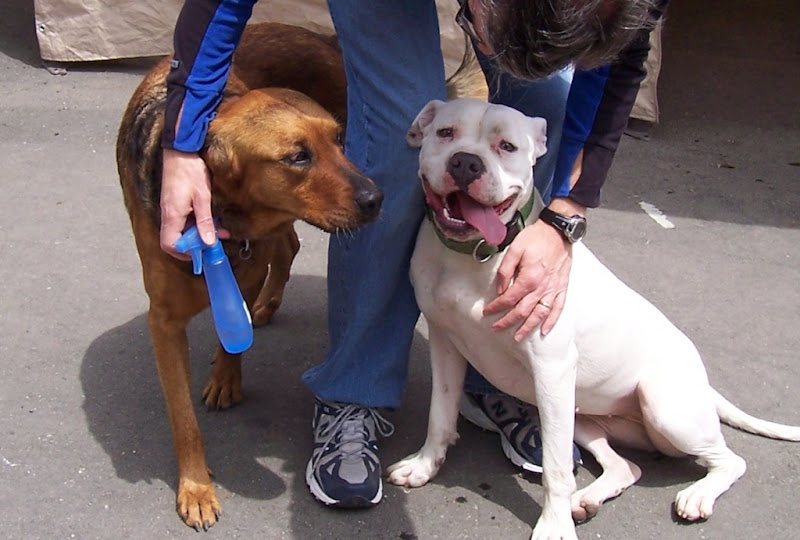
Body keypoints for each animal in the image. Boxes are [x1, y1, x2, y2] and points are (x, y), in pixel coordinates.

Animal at [115, 23, 384, 528]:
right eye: (297, 157)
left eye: (339, 141)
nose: (376, 198)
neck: (222, 219)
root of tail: (318, 35)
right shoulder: (163, 324)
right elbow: (184, 421)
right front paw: (196, 487)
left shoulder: (248, 264)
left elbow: (231, 337)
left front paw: (227, 375)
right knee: (288, 245)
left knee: (286, 247)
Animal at [384, 98, 796, 540]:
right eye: (446, 133)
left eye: (507, 146)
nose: (465, 163)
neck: (474, 255)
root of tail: (704, 385)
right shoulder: (446, 342)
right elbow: (440, 415)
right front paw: (424, 465)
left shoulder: (552, 370)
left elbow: (557, 468)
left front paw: (553, 525)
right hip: (583, 414)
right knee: (627, 466)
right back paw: (588, 500)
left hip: (662, 409)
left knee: (730, 459)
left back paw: (696, 495)